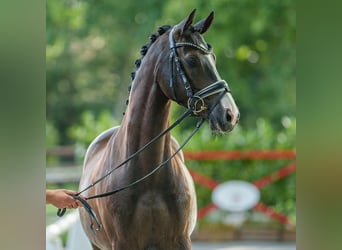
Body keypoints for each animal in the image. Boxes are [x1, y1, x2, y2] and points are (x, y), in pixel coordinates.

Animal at [78, 8, 239, 249]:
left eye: (214, 58)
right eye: (191, 60)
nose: (230, 114)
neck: (148, 177)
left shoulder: (181, 241)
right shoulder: (122, 243)